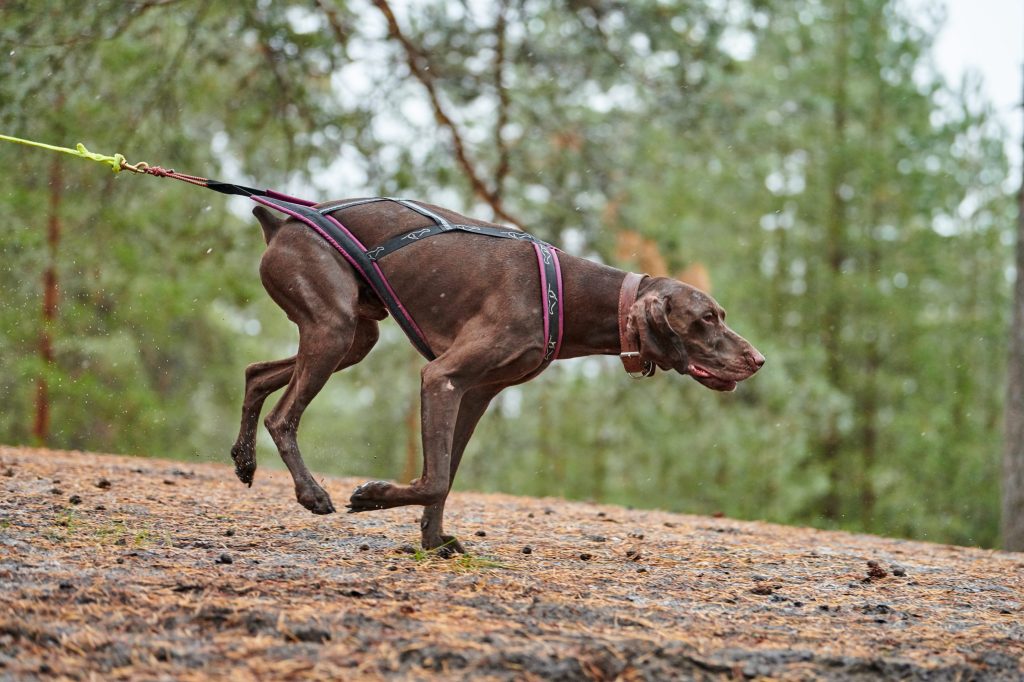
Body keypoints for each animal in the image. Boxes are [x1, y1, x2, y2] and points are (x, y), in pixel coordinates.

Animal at [230, 197, 761, 552]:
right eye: (707, 318)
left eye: (721, 314)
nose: (758, 359)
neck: (567, 294)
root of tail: (280, 224)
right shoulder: (442, 377)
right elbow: (436, 479)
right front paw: (373, 496)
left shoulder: (475, 393)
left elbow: (446, 475)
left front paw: (433, 540)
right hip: (333, 324)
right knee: (283, 416)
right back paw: (311, 493)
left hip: (356, 336)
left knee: (256, 373)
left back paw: (244, 461)